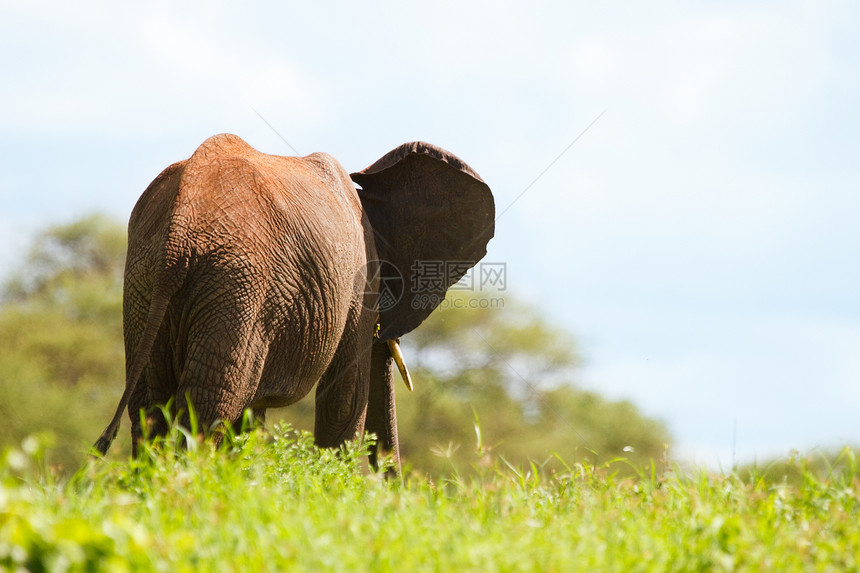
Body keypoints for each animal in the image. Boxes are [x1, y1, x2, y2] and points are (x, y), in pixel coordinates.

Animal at [94, 133, 494, 470]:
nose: (397, 484)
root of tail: (179, 228)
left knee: (151, 406)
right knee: (209, 407)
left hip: (146, 282)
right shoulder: (359, 280)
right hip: (239, 285)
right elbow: (344, 402)